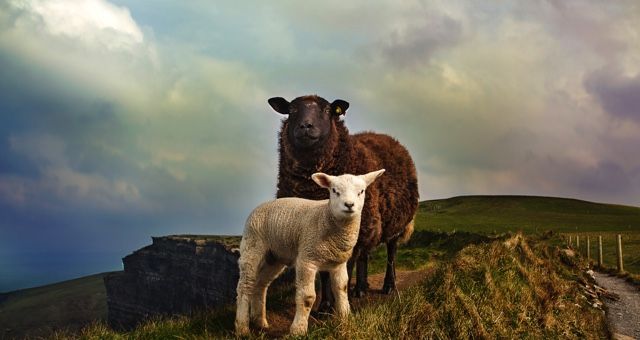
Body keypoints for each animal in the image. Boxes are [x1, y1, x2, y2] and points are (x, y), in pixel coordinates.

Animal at [236, 169, 384, 334]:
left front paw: (345, 319)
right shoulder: (307, 259)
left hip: (274, 257)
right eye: (334, 191)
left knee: (260, 285)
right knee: (245, 286)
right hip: (252, 247)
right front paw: (298, 330)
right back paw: (242, 327)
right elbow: (307, 297)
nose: (349, 205)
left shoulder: (338, 263)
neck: (326, 217)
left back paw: (260, 322)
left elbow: (342, 289)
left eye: (361, 191)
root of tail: (260, 206)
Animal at [266, 94, 420, 310]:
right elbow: (325, 273)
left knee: (391, 252)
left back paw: (388, 285)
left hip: (394, 222)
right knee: (365, 255)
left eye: (327, 110)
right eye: (292, 110)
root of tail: (388, 138)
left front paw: (336, 305)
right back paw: (361, 288)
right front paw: (324, 306)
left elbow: (343, 270)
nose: (306, 126)